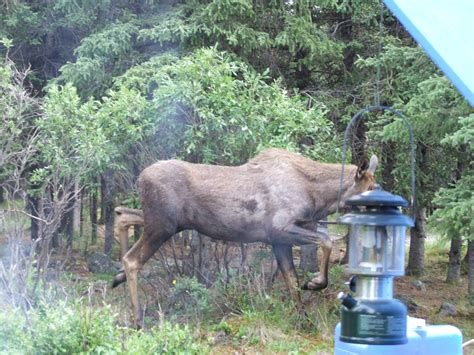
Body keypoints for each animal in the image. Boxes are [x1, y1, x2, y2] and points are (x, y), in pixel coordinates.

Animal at [112, 148, 378, 328]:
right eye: (368, 191)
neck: (318, 200)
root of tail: (140, 178)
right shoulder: (279, 229)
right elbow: (326, 241)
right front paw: (314, 283)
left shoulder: (279, 241)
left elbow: (292, 281)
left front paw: (304, 319)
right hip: (162, 226)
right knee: (132, 259)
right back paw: (138, 319)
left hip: (166, 223)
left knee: (122, 214)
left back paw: (117, 277)